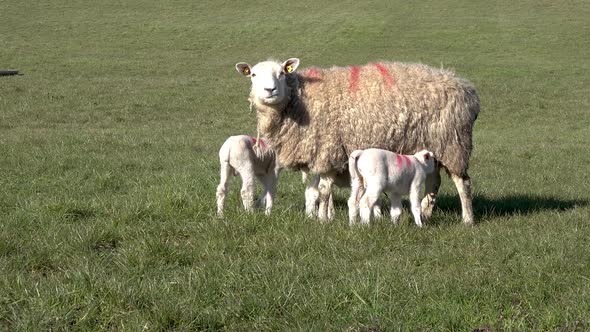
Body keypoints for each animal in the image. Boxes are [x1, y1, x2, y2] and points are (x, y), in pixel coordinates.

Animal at [236, 59, 480, 226]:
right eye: (253, 74)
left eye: (281, 74)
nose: (270, 90)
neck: (298, 100)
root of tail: (467, 89)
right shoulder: (323, 155)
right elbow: (318, 191)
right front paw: (323, 216)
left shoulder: (329, 150)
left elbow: (323, 191)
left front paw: (323, 219)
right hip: (435, 147)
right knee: (434, 182)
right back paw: (427, 212)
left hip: (454, 143)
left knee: (463, 183)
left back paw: (467, 220)